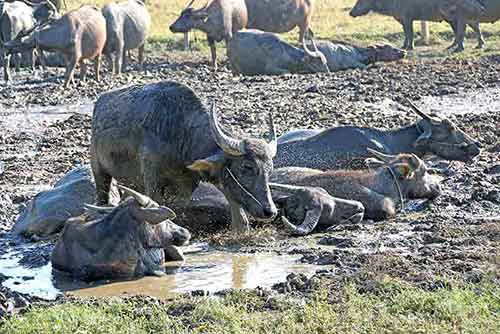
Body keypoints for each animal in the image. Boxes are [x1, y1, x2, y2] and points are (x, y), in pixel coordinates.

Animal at [92, 81, 280, 232]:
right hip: (100, 172)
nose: (269, 211)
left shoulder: (189, 187)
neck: (180, 134)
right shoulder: (152, 180)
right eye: (247, 166)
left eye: (270, 170)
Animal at [350, 0, 486, 51]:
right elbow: (405, 33)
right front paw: (404, 46)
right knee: (469, 27)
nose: (351, 12)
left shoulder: (407, 18)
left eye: (360, 1)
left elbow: (410, 33)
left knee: (469, 27)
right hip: (452, 18)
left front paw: (410, 47)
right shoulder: (402, 19)